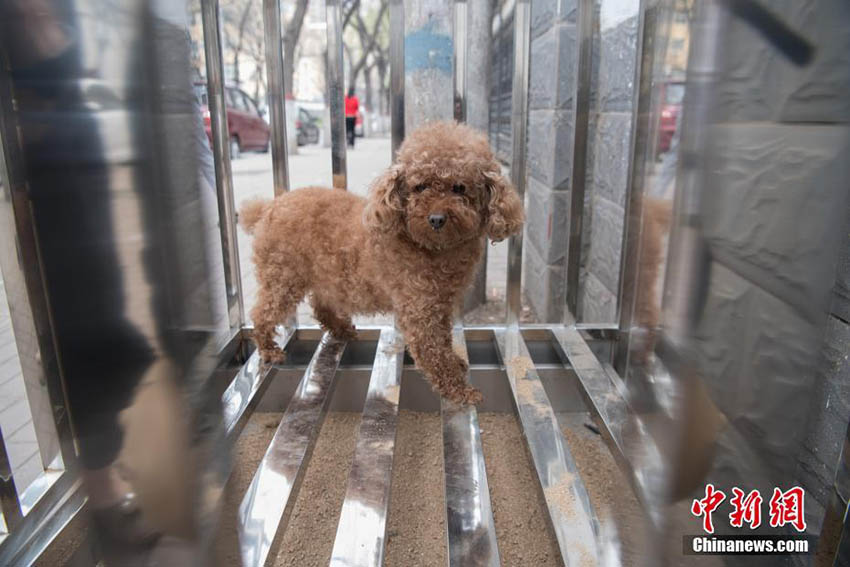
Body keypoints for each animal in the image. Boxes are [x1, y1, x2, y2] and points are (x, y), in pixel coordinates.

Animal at [240, 122, 524, 404]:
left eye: (459, 188)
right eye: (420, 187)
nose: (436, 219)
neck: (433, 249)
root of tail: (268, 208)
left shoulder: (440, 303)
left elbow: (444, 340)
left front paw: (456, 361)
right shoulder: (420, 309)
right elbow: (434, 353)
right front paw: (459, 390)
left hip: (323, 274)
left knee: (321, 305)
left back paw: (340, 329)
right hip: (282, 277)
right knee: (263, 312)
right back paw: (268, 348)